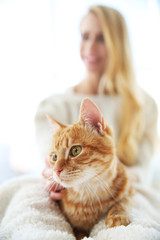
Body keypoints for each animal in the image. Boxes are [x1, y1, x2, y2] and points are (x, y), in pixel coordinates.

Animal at [47, 97, 135, 238]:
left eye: (75, 150)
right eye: (54, 157)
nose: (56, 170)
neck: (89, 193)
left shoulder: (130, 191)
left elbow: (123, 202)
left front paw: (117, 215)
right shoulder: (75, 227)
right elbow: (79, 233)